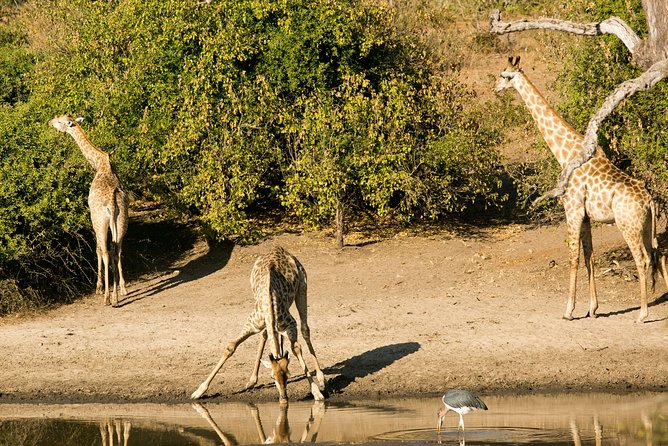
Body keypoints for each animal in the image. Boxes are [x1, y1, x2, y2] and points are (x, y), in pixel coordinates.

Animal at [48, 114, 129, 306]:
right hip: (122, 221)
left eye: (60, 121)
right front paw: (122, 289)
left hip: (101, 222)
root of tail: (112, 204)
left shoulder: (93, 218)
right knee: (117, 250)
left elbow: (98, 249)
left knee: (106, 252)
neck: (99, 163)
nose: (49, 122)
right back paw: (117, 294)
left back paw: (107, 298)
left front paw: (98, 287)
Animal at [190, 246, 326, 402]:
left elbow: (296, 348)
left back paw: (321, 378)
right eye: (272, 377)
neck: (270, 302)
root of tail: (280, 248)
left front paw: (316, 392)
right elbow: (231, 347)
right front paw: (199, 391)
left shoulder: (291, 324)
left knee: (305, 329)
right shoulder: (252, 324)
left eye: (288, 375)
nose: (283, 398)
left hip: (303, 287)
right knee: (265, 334)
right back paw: (251, 380)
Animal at [494, 55, 664, 322]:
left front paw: (569, 310)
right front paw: (592, 309)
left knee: (643, 259)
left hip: (628, 225)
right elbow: (589, 257)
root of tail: (649, 200)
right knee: (659, 254)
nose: (495, 88)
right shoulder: (585, 215)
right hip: (647, 225)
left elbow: (573, 257)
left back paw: (642, 314)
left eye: (504, 75)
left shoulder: (572, 209)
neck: (565, 154)